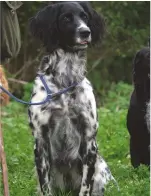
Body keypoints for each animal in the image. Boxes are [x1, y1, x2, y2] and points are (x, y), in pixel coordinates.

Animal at [28, 1, 115, 196]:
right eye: (66, 18)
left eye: (85, 16)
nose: (85, 32)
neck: (65, 80)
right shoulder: (40, 141)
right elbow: (45, 186)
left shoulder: (89, 140)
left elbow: (85, 186)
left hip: (100, 172)